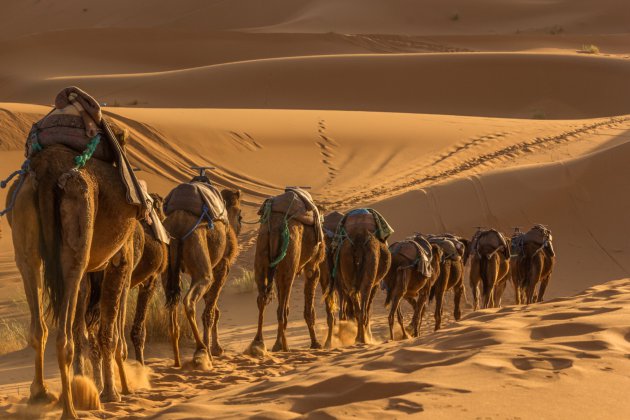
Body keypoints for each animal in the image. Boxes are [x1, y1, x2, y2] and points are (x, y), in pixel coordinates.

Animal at [163, 179, 242, 370]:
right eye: (240, 216)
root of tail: (177, 224)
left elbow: (211, 306)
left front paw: (216, 348)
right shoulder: (222, 267)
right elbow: (210, 311)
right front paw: (214, 351)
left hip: (168, 267)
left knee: (171, 304)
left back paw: (177, 358)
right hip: (200, 256)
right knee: (189, 301)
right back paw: (201, 349)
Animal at [249, 189, 326, 352]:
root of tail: (276, 226)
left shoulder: (278, 271)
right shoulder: (313, 266)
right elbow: (308, 310)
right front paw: (315, 343)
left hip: (262, 253)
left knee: (262, 299)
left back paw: (259, 341)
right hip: (290, 259)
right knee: (281, 309)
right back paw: (281, 345)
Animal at [338, 208, 392, 342]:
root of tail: (359, 237)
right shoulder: (376, 284)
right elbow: (369, 308)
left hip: (346, 260)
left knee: (357, 306)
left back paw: (358, 338)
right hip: (371, 263)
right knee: (364, 303)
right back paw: (363, 338)